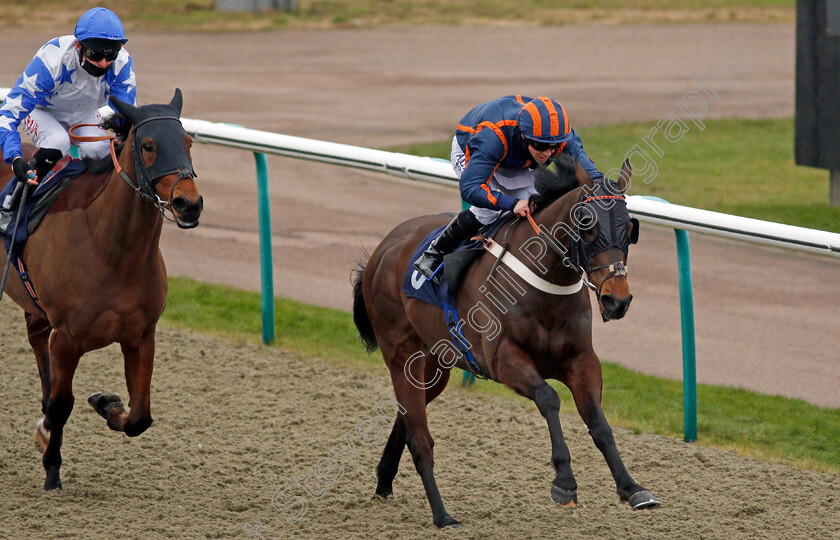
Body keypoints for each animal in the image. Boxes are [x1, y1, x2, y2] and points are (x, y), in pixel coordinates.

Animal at [0, 89, 203, 494]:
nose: (189, 203)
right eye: (148, 145)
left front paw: (107, 404)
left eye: (188, 142)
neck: (112, 250)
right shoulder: (67, 337)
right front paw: (52, 470)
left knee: (35, 338)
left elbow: (140, 415)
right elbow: (63, 403)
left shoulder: (141, 335)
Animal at [352, 152, 660, 528]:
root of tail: (383, 249)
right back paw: (443, 516)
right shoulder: (502, 360)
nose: (618, 300)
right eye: (587, 225)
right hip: (401, 354)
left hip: (434, 367)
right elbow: (549, 398)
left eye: (630, 228)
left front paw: (633, 488)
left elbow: (599, 423)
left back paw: (384, 479)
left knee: (408, 416)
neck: (545, 282)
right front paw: (564, 482)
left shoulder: (582, 360)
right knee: (420, 437)